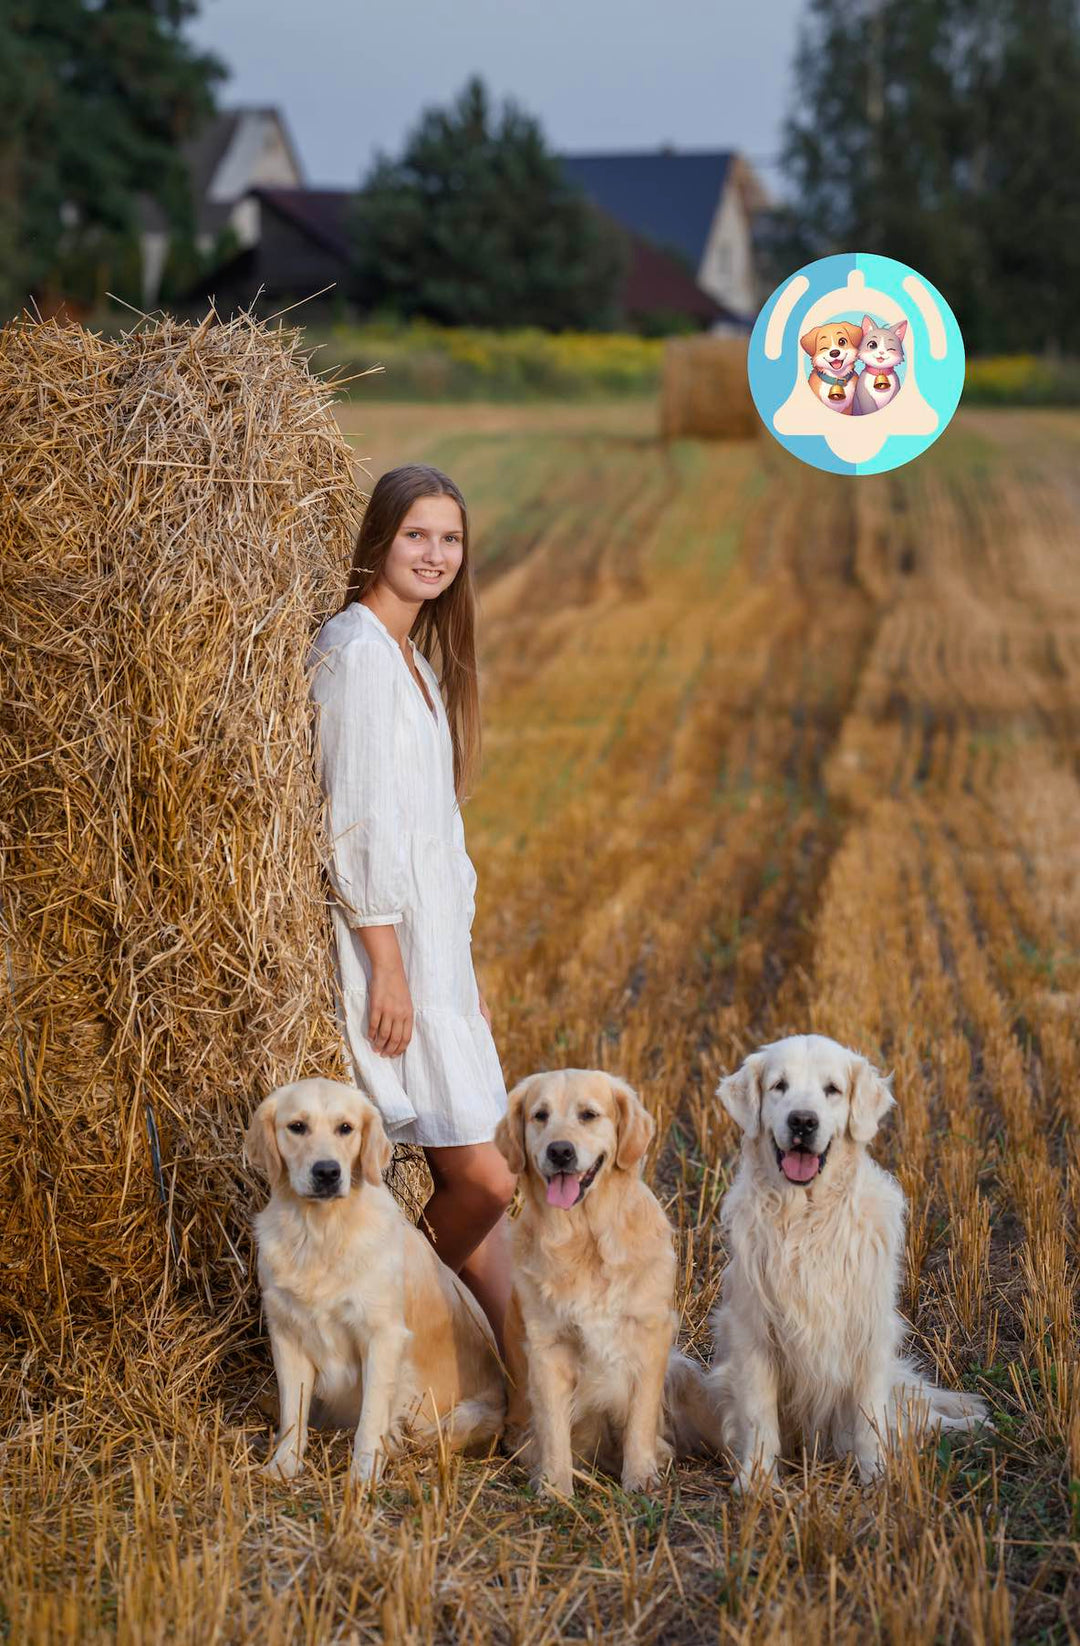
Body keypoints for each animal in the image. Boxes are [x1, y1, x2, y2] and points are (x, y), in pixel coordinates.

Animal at [246, 1073, 503, 1487]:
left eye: (345, 1128)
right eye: (297, 1126)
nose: (327, 1172)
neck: (321, 1231)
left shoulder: (382, 1337)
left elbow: (370, 1419)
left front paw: (363, 1476)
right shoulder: (287, 1333)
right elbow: (291, 1414)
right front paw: (283, 1465)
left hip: (461, 1416)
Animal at [497, 1073, 717, 1501]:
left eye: (589, 1114)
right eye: (540, 1115)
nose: (560, 1151)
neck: (585, 1238)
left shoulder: (650, 1334)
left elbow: (640, 1419)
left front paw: (640, 1476)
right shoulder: (547, 1346)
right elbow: (552, 1427)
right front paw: (555, 1486)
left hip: (685, 1377)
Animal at [707, 1040, 987, 1494]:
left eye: (832, 1089)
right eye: (779, 1085)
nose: (803, 1121)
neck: (806, 1219)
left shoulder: (868, 1331)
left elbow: (870, 1420)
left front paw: (878, 1478)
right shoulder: (754, 1332)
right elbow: (759, 1415)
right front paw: (757, 1481)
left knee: (920, 1419)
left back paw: (978, 1424)